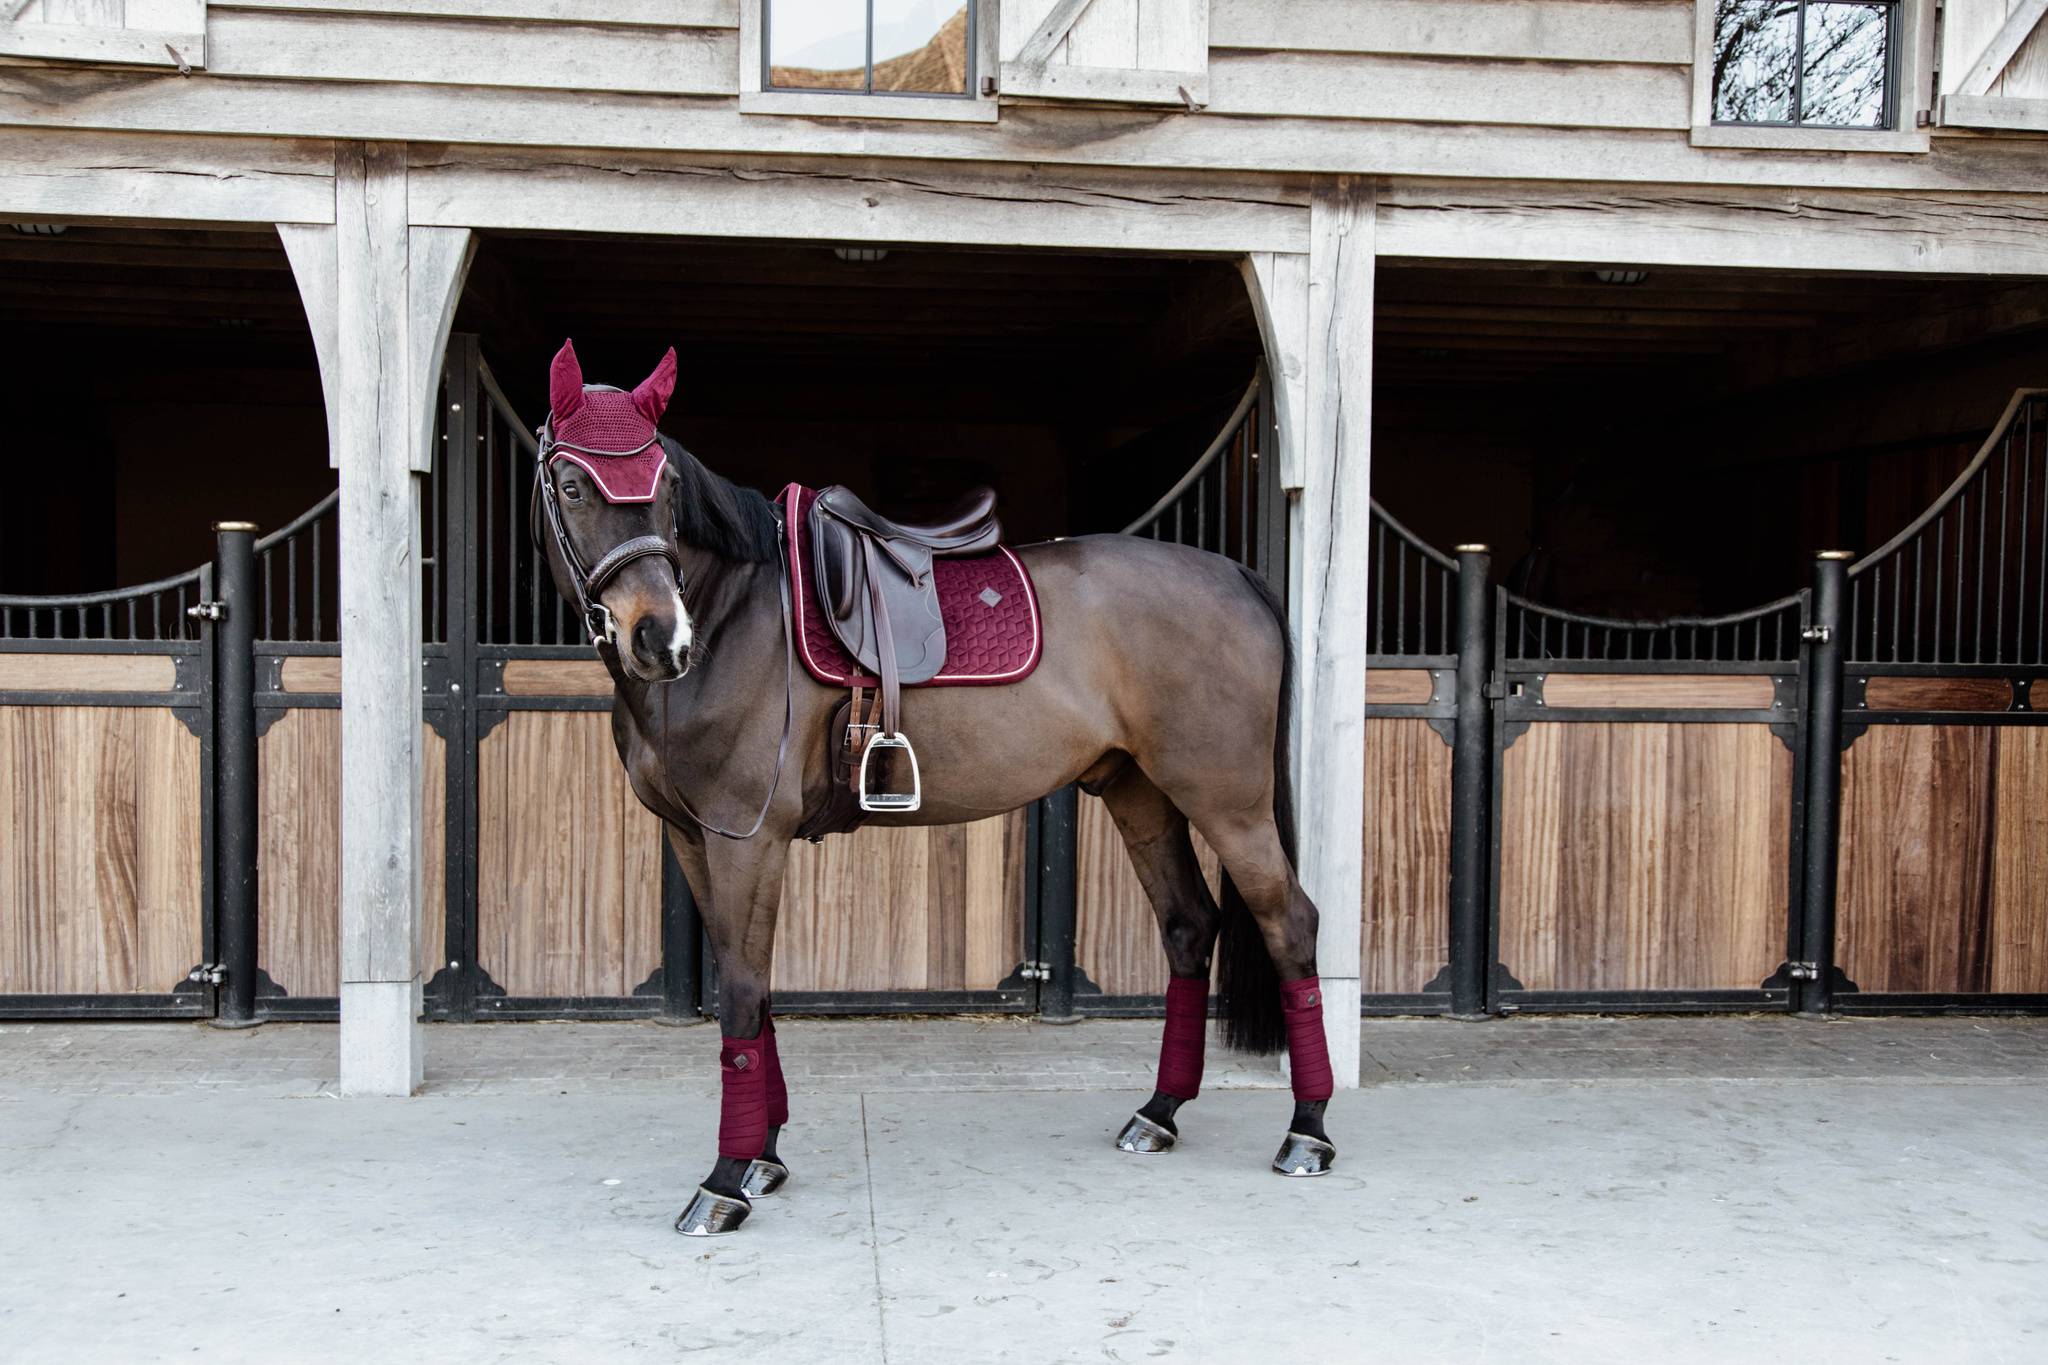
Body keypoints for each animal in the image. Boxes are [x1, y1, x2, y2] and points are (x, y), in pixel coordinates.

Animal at [528, 341, 1335, 1236]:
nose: (660, 637)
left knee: (1290, 923)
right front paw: (764, 1156)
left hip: (1229, 801)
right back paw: (1157, 1113)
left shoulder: (748, 838)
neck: (736, 617)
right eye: (572, 484)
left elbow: (741, 991)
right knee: (1190, 927)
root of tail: (1236, 574)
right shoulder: (694, 838)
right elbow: (757, 990)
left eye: (665, 484)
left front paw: (725, 1179)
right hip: (1142, 796)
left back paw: (1307, 1132)